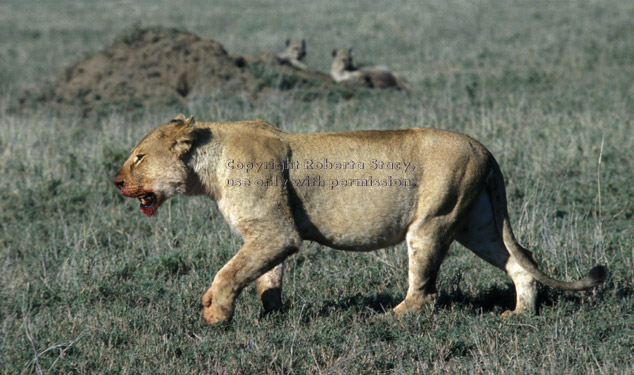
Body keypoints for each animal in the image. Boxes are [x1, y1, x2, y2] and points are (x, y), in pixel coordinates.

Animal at [112, 115, 604, 326]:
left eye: (138, 157)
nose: (116, 181)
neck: (207, 167)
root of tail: (484, 148)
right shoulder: (269, 234)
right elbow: (265, 277)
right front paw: (272, 315)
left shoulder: (275, 232)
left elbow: (228, 272)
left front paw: (215, 313)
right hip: (478, 225)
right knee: (521, 262)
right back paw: (519, 314)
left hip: (432, 222)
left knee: (425, 292)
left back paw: (389, 317)